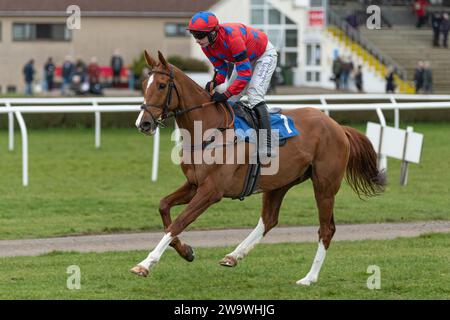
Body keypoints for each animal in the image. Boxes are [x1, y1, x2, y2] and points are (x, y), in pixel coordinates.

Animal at [131, 51, 384, 286]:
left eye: (162, 85)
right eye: (144, 85)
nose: (143, 123)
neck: (209, 131)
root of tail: (338, 127)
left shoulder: (211, 191)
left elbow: (179, 222)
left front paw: (145, 264)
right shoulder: (194, 184)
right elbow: (164, 206)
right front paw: (185, 251)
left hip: (325, 185)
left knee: (326, 229)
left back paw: (309, 277)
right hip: (280, 182)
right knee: (269, 220)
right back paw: (234, 255)